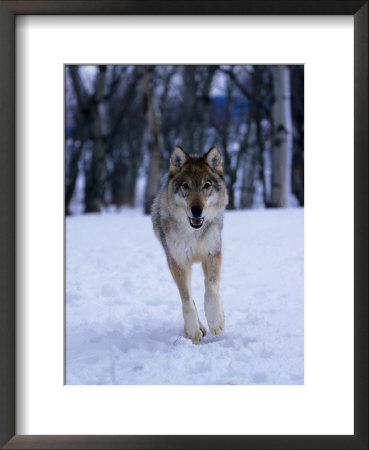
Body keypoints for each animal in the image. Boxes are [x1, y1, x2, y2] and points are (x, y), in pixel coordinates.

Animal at [152, 146, 227, 342]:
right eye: (186, 186)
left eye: (206, 186)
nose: (196, 210)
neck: (193, 233)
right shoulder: (178, 262)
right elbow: (186, 299)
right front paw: (193, 329)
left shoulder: (212, 253)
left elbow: (211, 288)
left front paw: (216, 320)